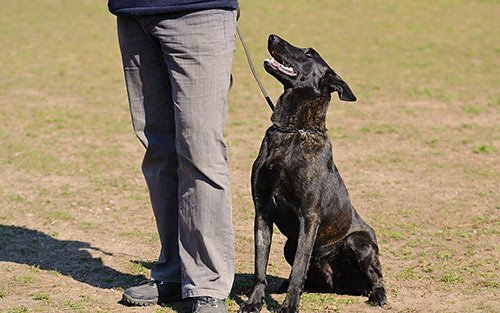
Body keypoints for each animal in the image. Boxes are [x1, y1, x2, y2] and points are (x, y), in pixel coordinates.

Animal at [238, 34, 386, 312]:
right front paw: (254, 302)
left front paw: (288, 306)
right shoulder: (262, 211)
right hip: (289, 244)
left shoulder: (309, 217)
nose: (272, 37)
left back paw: (378, 294)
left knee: (376, 274)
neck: (292, 131)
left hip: (359, 243)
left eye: (309, 53)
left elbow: (299, 267)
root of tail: (341, 285)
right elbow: (260, 265)